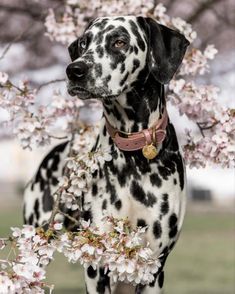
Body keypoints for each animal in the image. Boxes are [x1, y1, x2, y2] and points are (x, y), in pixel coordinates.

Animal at [23, 16, 189, 294]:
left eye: (119, 42)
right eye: (84, 43)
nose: (75, 70)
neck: (133, 153)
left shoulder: (153, 267)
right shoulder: (97, 266)